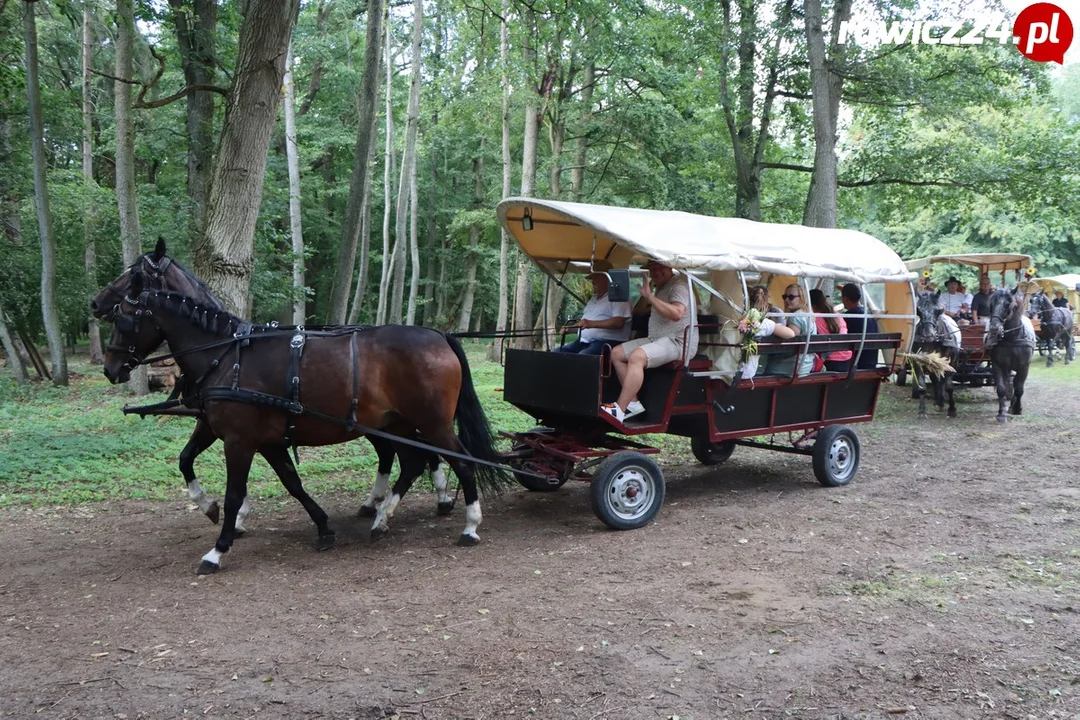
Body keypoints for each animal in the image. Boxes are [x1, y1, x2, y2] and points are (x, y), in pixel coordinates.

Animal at [86, 239, 451, 526]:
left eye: (132, 274)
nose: (95, 303)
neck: (225, 350)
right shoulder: (213, 423)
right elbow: (187, 458)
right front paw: (218, 509)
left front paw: (232, 514)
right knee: (400, 453)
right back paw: (387, 502)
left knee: (418, 451)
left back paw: (434, 498)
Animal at [103, 276, 507, 574]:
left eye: (124, 319)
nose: (110, 369)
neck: (227, 357)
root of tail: (439, 335)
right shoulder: (254, 437)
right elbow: (281, 481)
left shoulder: (238, 439)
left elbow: (236, 493)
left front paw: (218, 549)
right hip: (400, 425)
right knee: (412, 463)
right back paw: (382, 517)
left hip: (432, 424)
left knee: (460, 462)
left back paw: (469, 524)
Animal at [984, 287, 1032, 423]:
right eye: (991, 304)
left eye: (1007, 304)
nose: (994, 329)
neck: (1012, 339)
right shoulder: (998, 365)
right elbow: (1001, 388)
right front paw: (1001, 413)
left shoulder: (1024, 367)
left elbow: (1019, 388)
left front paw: (1017, 408)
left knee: (1015, 383)